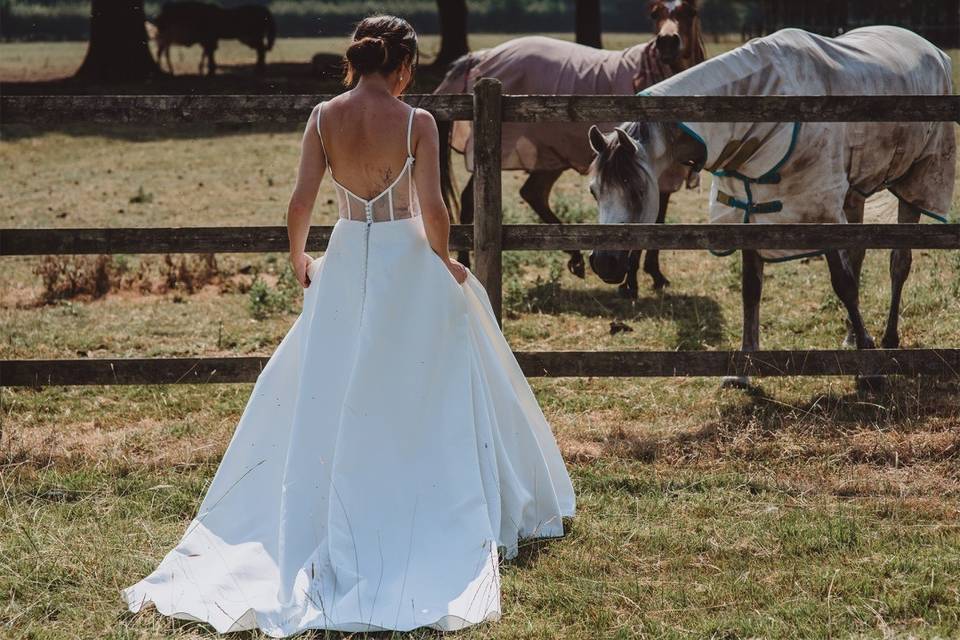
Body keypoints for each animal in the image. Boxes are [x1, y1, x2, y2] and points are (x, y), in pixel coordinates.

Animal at [146, 2, 276, 76]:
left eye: (171, 12)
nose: (156, 20)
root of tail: (265, 11)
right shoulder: (209, 40)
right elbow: (209, 54)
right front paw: (209, 70)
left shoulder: (209, 39)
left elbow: (209, 53)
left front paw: (209, 70)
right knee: (261, 50)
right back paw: (259, 69)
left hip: (251, 37)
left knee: (261, 50)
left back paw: (259, 69)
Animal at [436, 0, 704, 296]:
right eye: (655, 14)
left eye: (689, 11)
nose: (667, 43)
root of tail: (481, 56)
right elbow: (651, 220)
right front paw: (636, 282)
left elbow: (657, 218)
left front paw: (651, 275)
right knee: (473, 200)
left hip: (548, 155)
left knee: (533, 193)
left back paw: (575, 258)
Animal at [584, 25, 952, 384]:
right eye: (594, 191)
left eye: (635, 189)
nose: (604, 263)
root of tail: (933, 50)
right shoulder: (748, 208)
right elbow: (752, 288)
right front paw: (744, 370)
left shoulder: (819, 206)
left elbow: (843, 283)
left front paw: (869, 365)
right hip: (853, 193)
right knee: (859, 255)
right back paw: (850, 336)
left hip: (916, 180)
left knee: (899, 262)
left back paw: (889, 338)